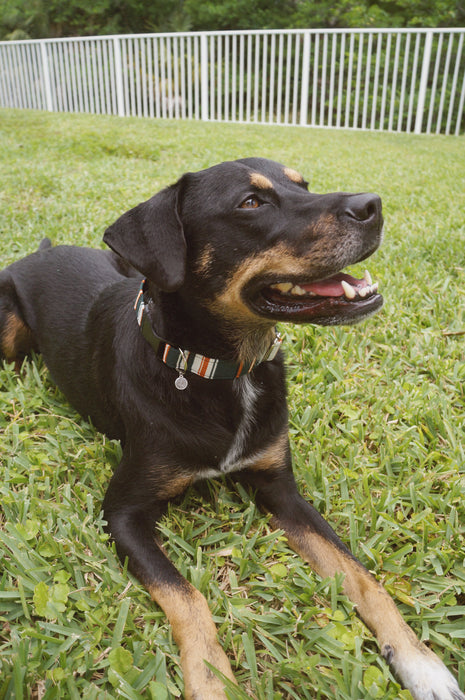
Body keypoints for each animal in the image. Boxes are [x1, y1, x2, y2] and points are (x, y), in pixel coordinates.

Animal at [0, 159, 462, 700]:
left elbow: (361, 576)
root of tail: (42, 251)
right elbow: (188, 597)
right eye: (251, 203)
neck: (221, 369)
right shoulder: (121, 514)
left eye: (302, 184)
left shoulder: (280, 488)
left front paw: (420, 661)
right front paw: (209, 679)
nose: (373, 205)